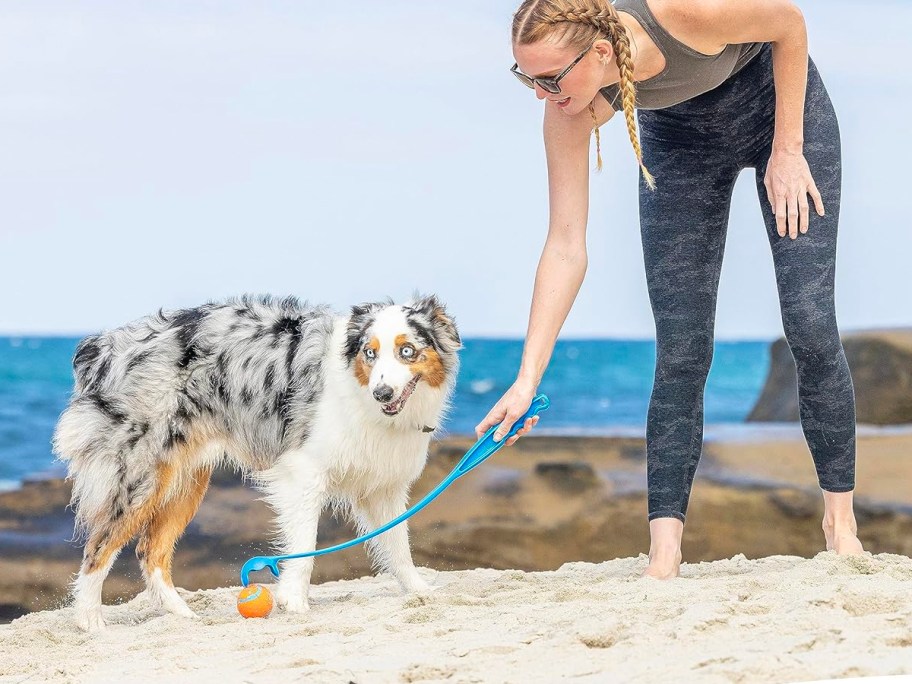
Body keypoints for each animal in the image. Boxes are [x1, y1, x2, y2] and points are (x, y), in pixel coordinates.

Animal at [53, 294, 460, 632]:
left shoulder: (384, 487)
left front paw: (420, 592)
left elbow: (398, 546)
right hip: (140, 474)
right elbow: (305, 545)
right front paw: (294, 602)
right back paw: (91, 622)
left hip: (188, 478)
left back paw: (184, 615)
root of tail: (102, 346)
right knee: (98, 547)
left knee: (149, 550)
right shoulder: (304, 472)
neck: (359, 393)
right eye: (370, 353)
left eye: (407, 351)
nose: (383, 393)